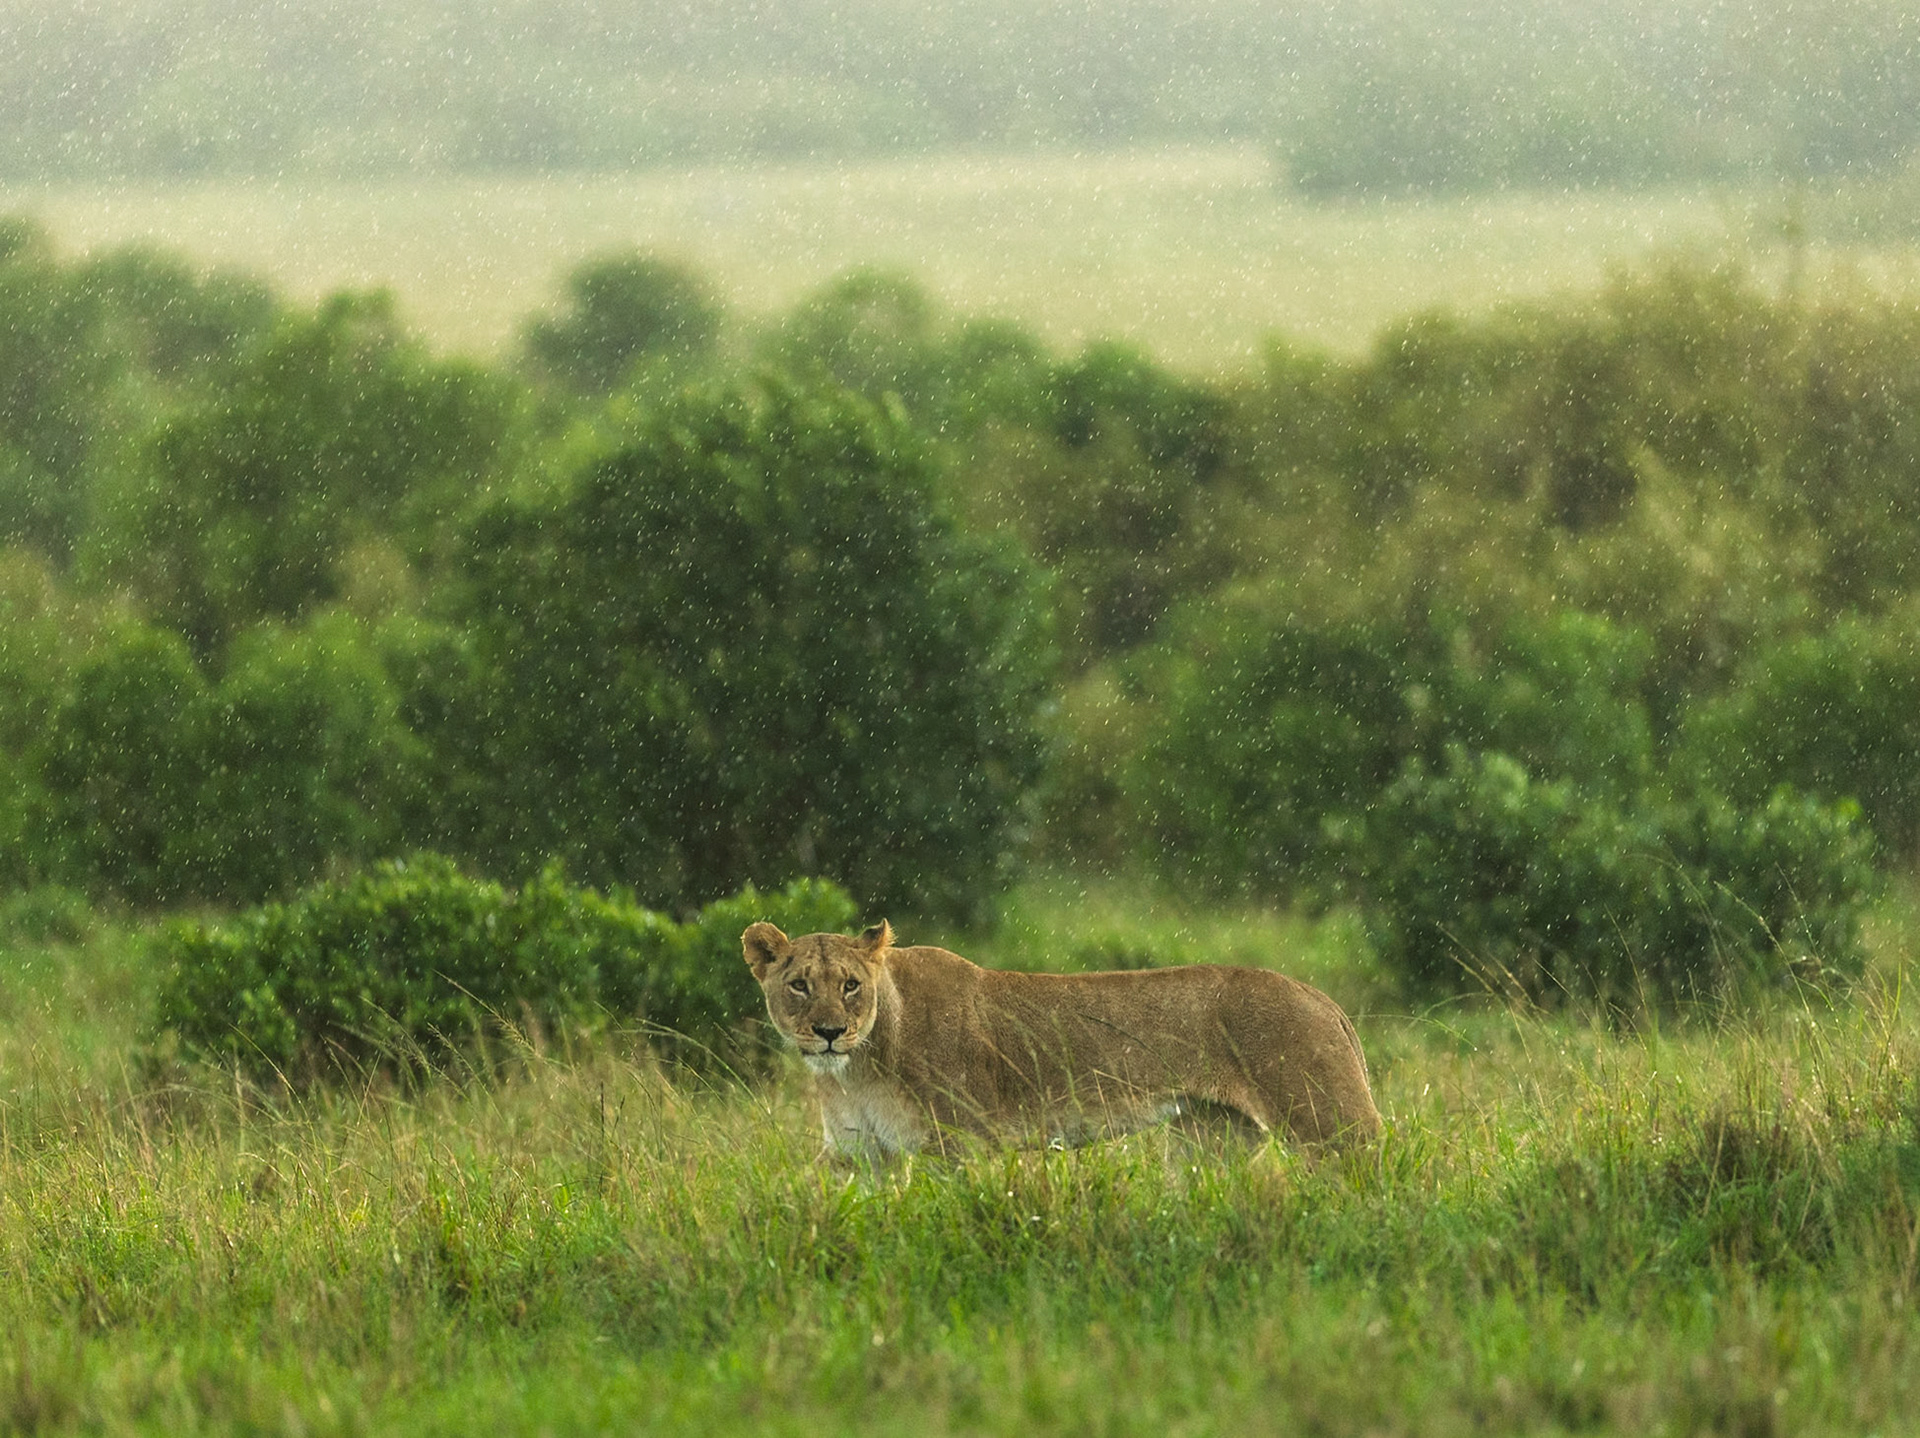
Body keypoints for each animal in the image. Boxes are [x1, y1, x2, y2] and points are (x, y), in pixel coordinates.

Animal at [742, 919, 1381, 1161]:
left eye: (850, 985)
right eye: (799, 986)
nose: (829, 1033)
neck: (858, 1068)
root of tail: (1321, 998)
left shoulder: (964, 1146)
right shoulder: (856, 1158)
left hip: (1331, 1127)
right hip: (1210, 1141)